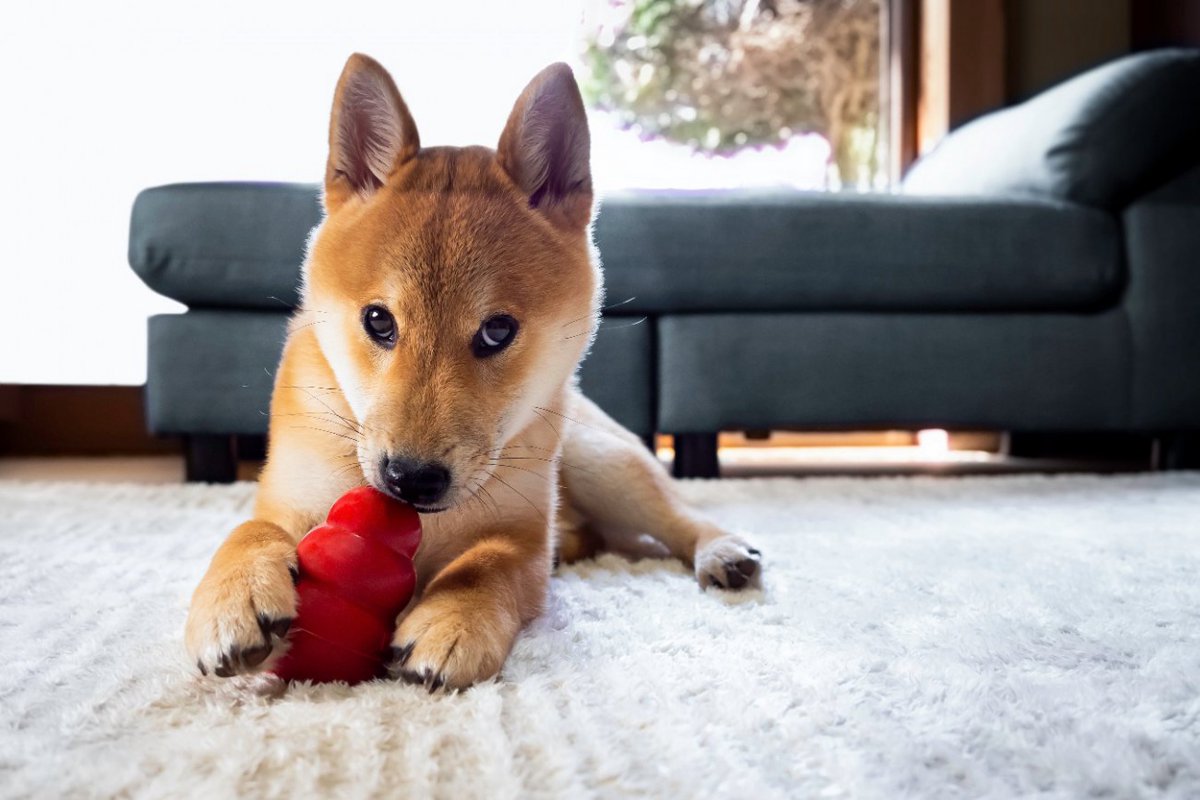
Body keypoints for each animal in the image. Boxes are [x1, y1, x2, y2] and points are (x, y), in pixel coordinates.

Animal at [184, 54, 768, 690]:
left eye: (497, 331)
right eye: (378, 320)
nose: (411, 479)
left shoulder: (524, 538)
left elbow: (490, 564)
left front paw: (453, 620)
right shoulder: (289, 497)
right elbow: (251, 530)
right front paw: (234, 595)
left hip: (601, 463)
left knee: (678, 518)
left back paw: (723, 551)